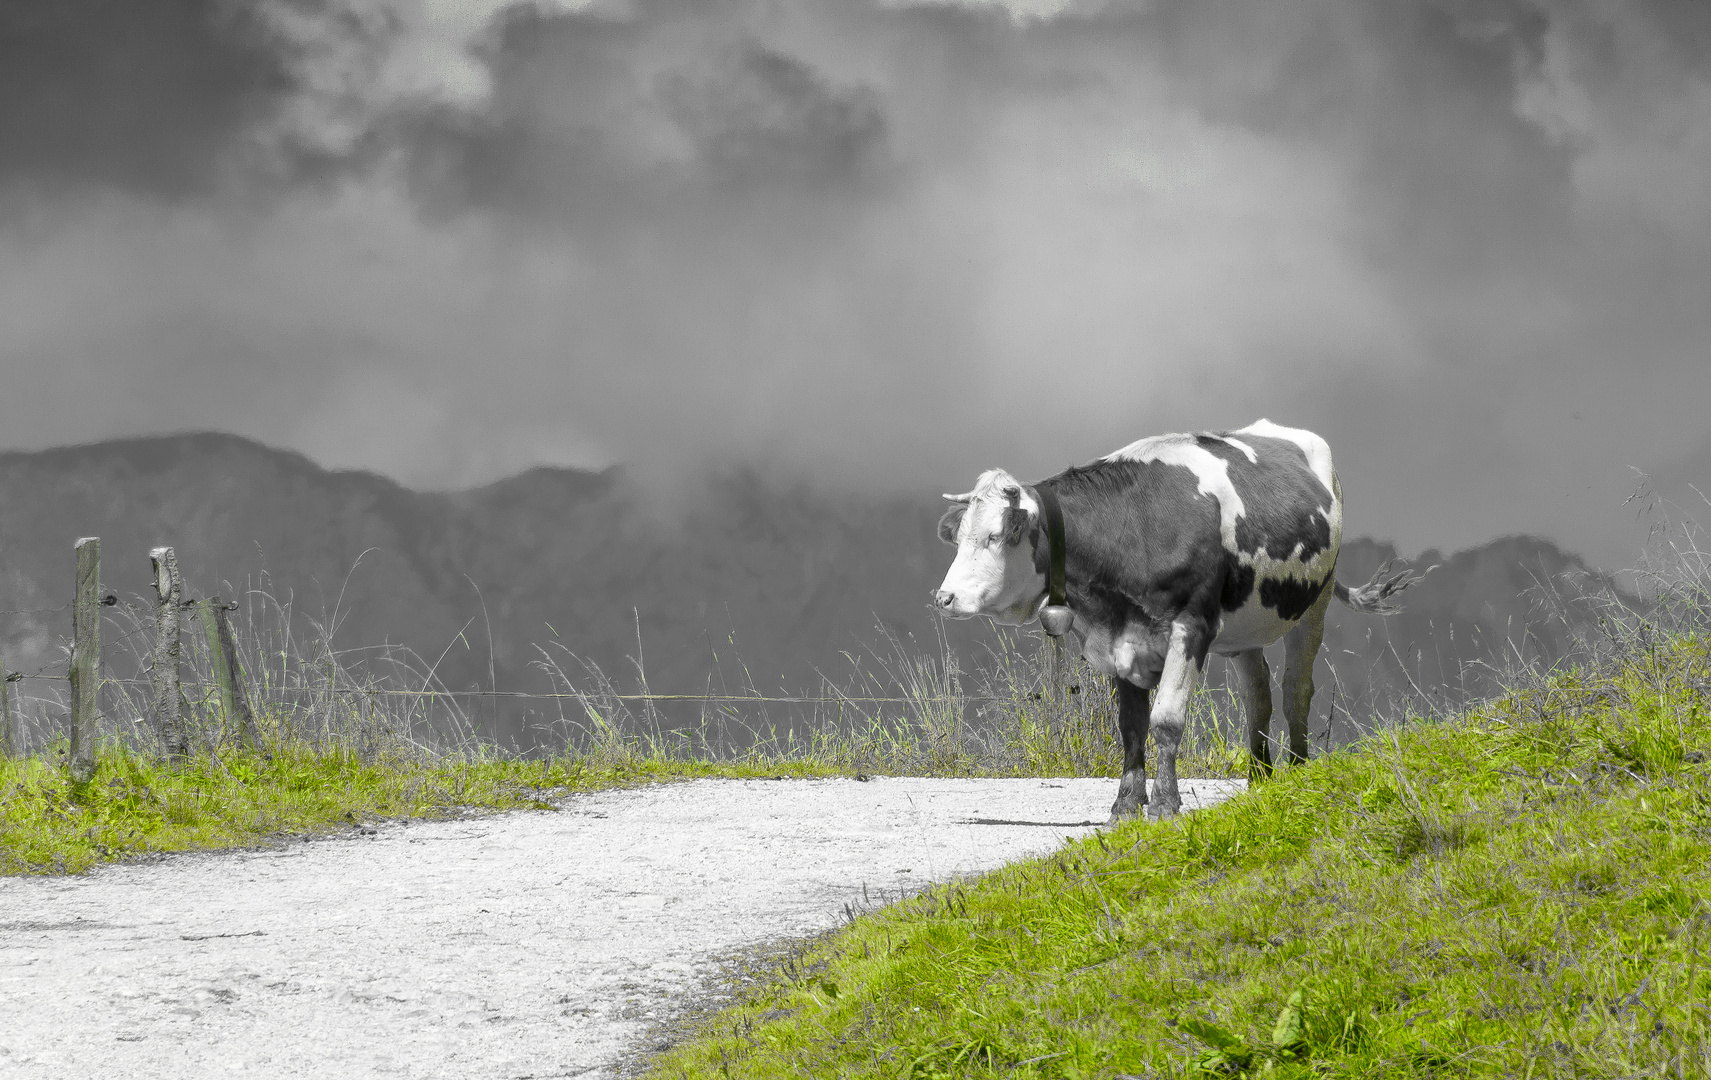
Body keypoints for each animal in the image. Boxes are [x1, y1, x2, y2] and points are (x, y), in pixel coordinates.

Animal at [930, 417, 1423, 824]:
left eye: (995, 536)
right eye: (959, 536)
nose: (944, 597)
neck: (1133, 529)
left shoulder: (1193, 627)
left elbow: (1167, 718)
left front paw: (1165, 805)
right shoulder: (1120, 637)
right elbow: (1131, 725)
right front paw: (1126, 806)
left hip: (1313, 605)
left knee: (1296, 692)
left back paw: (1298, 773)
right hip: (1246, 629)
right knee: (1258, 696)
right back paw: (1258, 780)